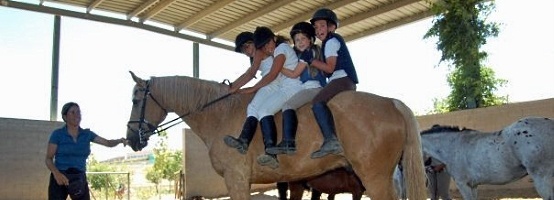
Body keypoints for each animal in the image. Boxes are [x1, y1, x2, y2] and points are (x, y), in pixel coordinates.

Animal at [126, 71, 426, 199]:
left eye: (136, 99)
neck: (221, 113)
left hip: (374, 179)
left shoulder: (237, 180)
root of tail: (391, 103)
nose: (131, 139)